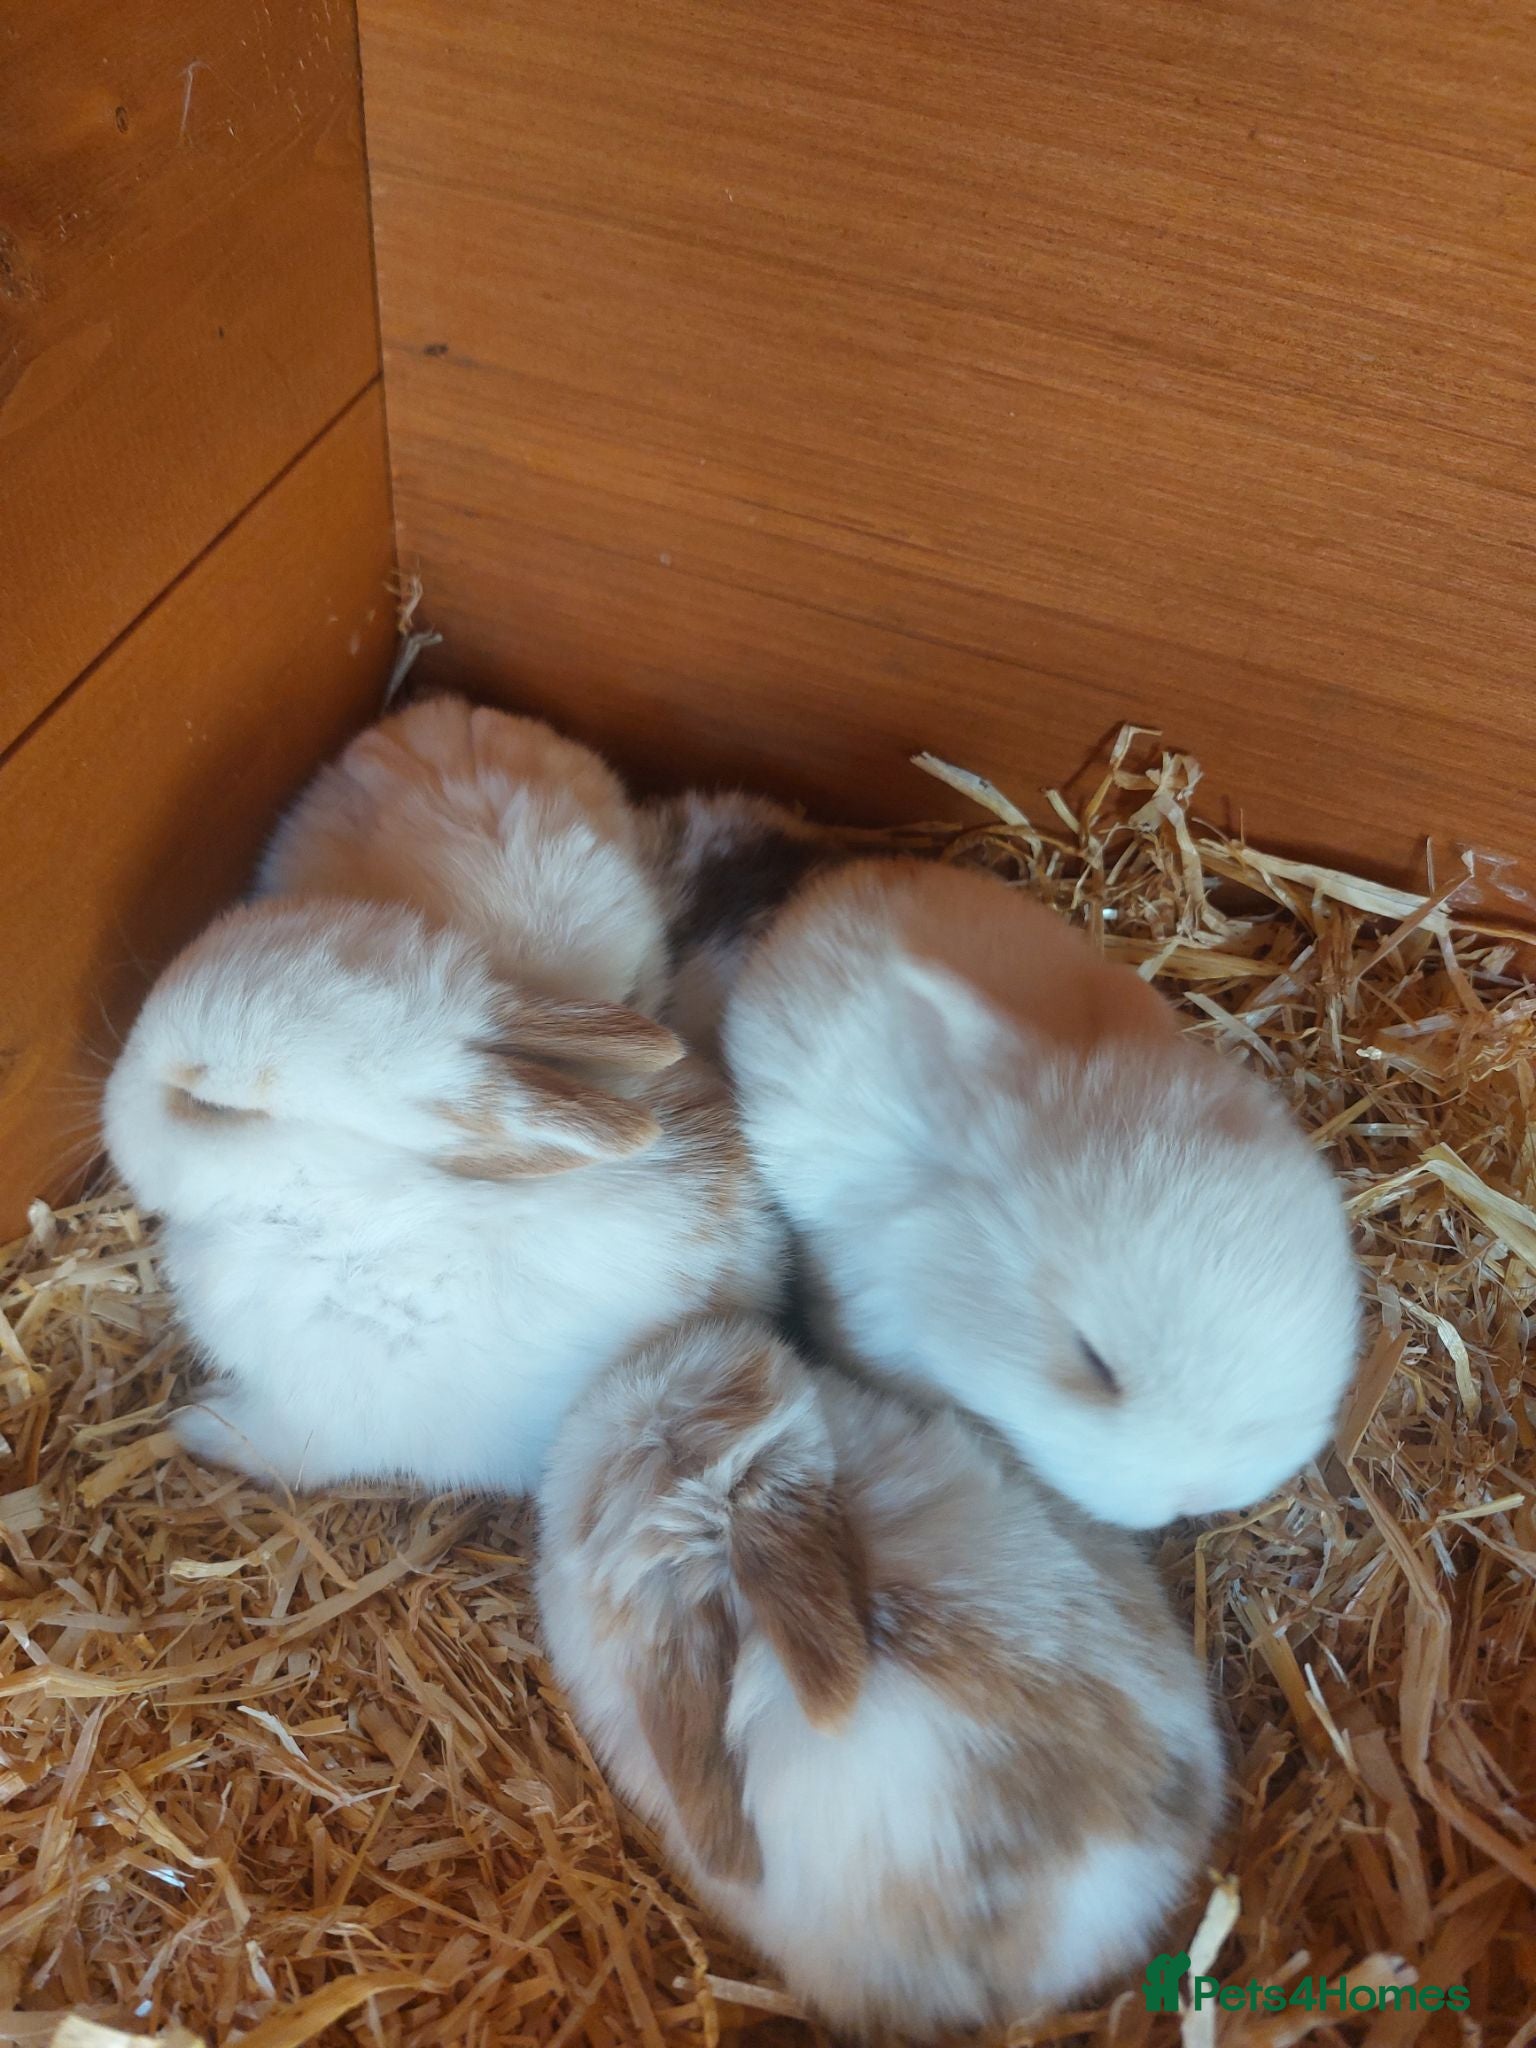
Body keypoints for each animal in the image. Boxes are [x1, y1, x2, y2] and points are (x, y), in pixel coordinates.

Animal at [102, 898, 785, 1493]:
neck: (339, 1200)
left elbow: (268, 1448)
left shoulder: (310, 1414)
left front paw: (193, 1422)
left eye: (210, 1106)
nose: (110, 1101)